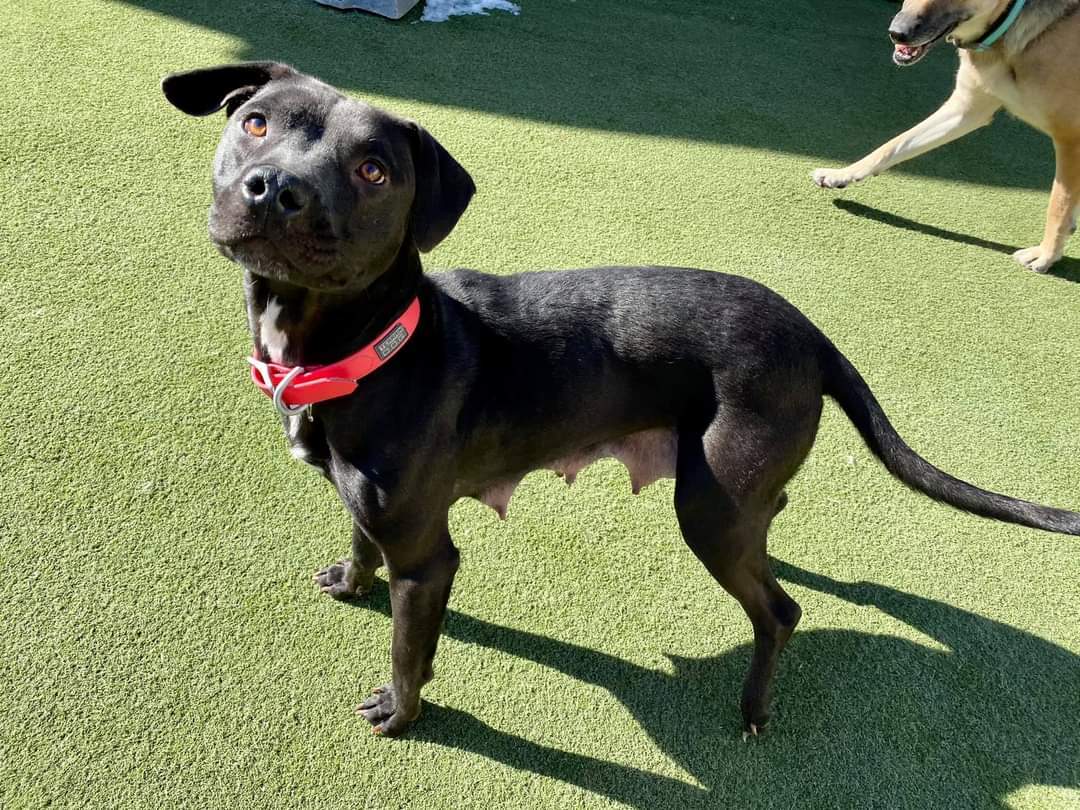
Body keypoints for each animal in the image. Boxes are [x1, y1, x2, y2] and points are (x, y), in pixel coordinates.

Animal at [162, 63, 1080, 743]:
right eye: (257, 124)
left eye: (373, 169)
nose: (274, 189)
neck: (371, 344)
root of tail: (811, 333)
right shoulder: (369, 505)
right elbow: (360, 540)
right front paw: (353, 580)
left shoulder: (429, 558)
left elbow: (407, 650)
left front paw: (402, 712)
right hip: (734, 496)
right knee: (773, 529)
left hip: (708, 510)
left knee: (780, 611)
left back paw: (754, 706)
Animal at [812, 0, 1080, 273]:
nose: (897, 33)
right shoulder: (966, 110)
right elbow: (893, 145)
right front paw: (841, 173)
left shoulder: (1070, 140)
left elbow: (1058, 204)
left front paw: (1045, 255)